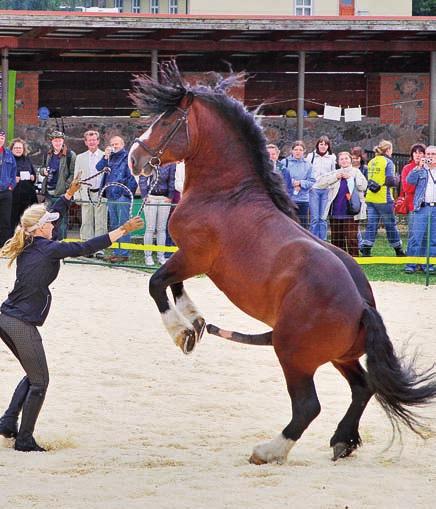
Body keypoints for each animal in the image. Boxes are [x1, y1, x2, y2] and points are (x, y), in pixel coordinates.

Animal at [129, 61, 436, 462]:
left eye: (166, 120)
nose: (133, 159)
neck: (225, 194)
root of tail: (362, 306)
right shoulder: (189, 259)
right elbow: (172, 284)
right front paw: (194, 322)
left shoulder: (194, 256)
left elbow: (156, 283)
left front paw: (182, 334)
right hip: (340, 356)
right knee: (362, 387)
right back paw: (342, 441)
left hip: (291, 353)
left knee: (308, 406)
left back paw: (270, 449)